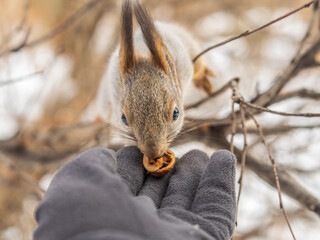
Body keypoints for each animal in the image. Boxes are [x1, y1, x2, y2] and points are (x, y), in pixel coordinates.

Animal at [95, 0, 215, 161]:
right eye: (123, 118)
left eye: (176, 113)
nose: (153, 153)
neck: (142, 53)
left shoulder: (182, 58)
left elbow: (196, 67)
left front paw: (201, 77)